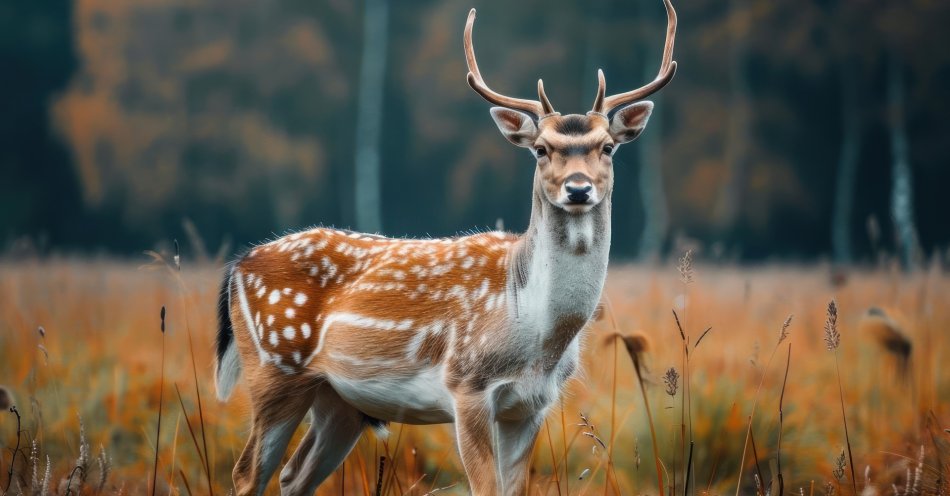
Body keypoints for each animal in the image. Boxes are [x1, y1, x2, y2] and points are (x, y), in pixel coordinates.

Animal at [216, 1, 676, 494]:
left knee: (293, 474)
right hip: (273, 367)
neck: (537, 331)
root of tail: (239, 263)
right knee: (247, 472)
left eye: (607, 147)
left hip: (338, 400)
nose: (577, 189)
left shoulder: (533, 404)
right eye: (540, 149)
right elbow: (485, 487)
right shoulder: (467, 385)